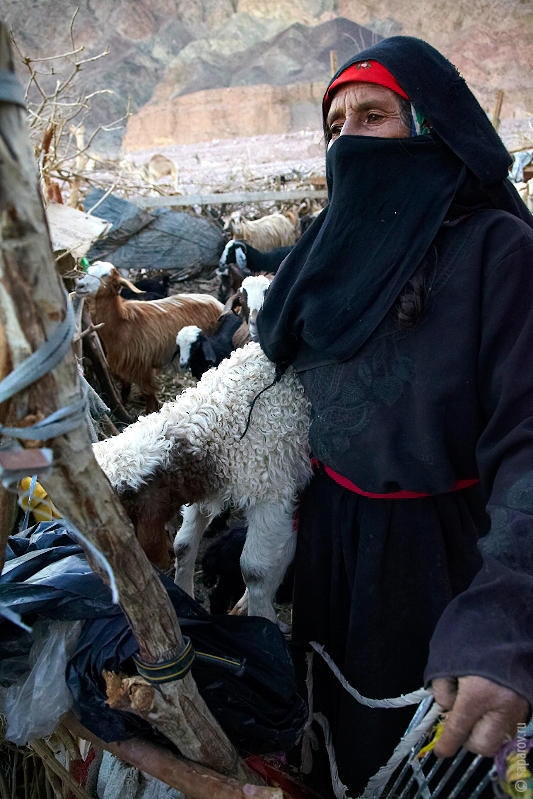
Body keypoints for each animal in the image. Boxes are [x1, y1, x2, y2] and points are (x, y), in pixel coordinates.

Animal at [75, 262, 222, 412]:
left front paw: (149, 412)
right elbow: (126, 387)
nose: (80, 285)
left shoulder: (142, 367)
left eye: (105, 276)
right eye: (88, 270)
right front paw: (124, 404)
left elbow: (149, 394)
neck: (121, 323)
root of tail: (218, 304)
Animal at [92, 340, 312, 620]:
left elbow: (255, 571)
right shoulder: (203, 486)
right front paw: (186, 595)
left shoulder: (273, 495)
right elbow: (183, 545)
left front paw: (263, 621)